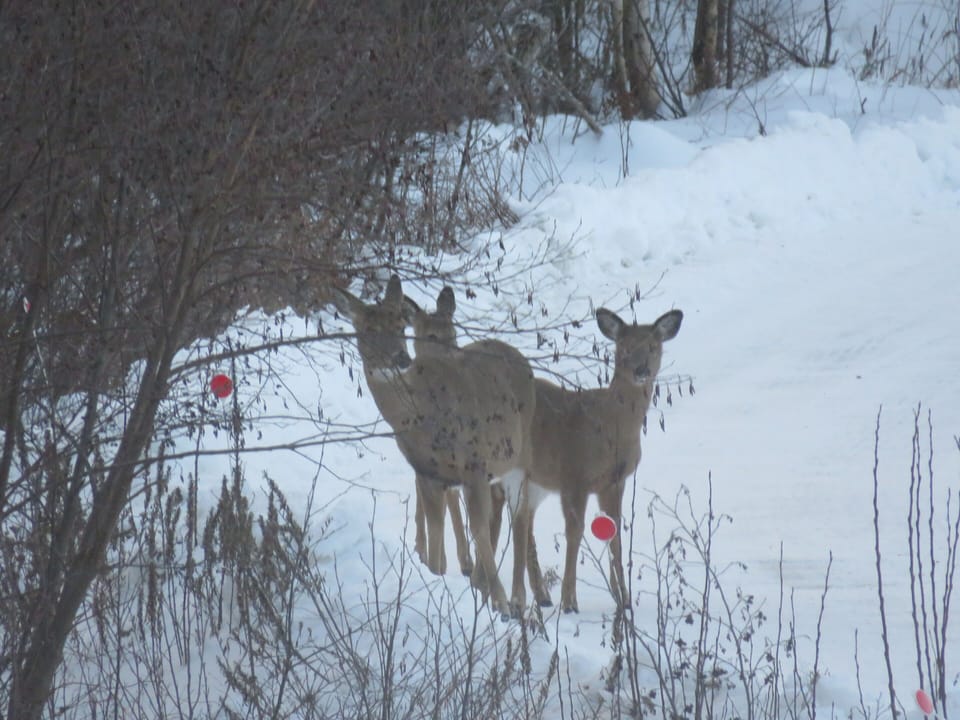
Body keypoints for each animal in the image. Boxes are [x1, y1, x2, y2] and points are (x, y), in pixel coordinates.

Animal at [331, 276, 537, 618]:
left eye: (399, 325)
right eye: (367, 330)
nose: (401, 359)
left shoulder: (474, 463)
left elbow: (478, 528)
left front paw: (500, 602)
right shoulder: (427, 472)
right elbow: (437, 528)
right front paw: (440, 577)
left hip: (520, 453)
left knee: (520, 516)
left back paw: (519, 597)